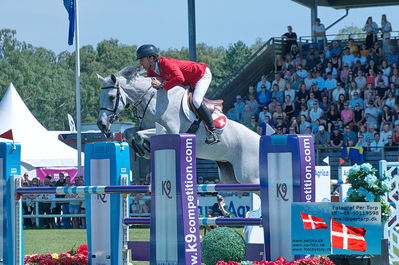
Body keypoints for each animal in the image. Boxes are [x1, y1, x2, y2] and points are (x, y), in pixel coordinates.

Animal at [97, 65, 266, 184]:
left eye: (111, 97)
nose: (101, 124)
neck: (153, 100)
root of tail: (259, 139)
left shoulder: (170, 131)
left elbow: (139, 135)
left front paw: (144, 149)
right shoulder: (144, 126)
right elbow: (129, 133)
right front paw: (141, 149)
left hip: (249, 177)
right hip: (229, 175)